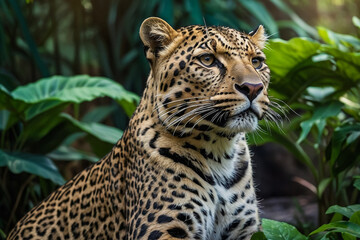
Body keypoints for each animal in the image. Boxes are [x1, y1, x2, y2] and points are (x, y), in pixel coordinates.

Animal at [7, 16, 272, 240]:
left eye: (257, 62)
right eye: (207, 60)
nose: (253, 88)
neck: (220, 151)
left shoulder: (247, 230)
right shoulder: (160, 229)